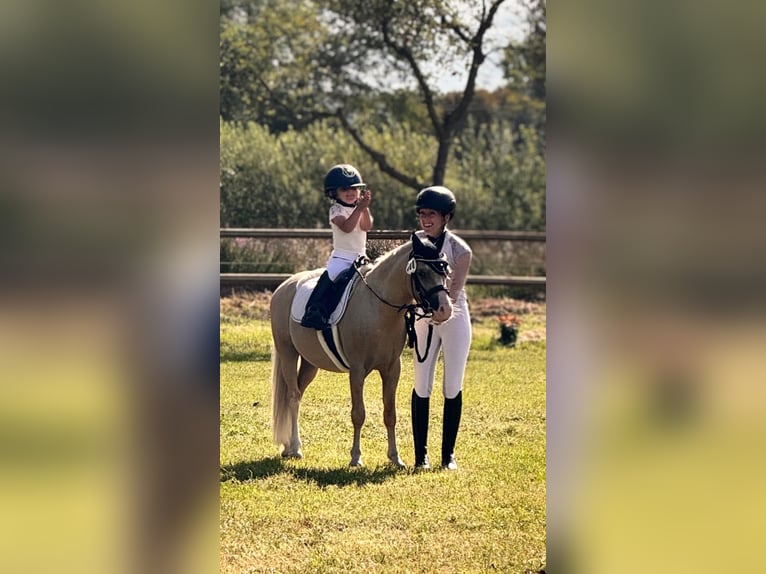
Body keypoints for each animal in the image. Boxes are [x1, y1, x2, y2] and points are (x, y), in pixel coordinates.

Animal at [269, 232, 453, 467]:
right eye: (421, 272)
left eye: (444, 270)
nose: (445, 310)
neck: (378, 308)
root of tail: (284, 286)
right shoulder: (357, 371)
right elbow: (358, 414)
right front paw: (356, 457)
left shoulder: (392, 369)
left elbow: (390, 413)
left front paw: (395, 457)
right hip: (288, 354)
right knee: (293, 396)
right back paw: (296, 448)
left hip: (310, 363)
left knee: (297, 395)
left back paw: (288, 447)